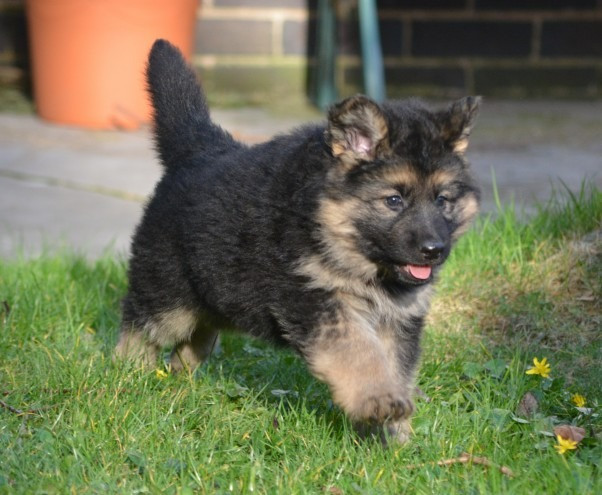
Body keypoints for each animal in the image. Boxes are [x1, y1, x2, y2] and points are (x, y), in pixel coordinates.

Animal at [115, 37, 480, 442]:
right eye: (394, 200)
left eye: (442, 200)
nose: (434, 251)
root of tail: (198, 149)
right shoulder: (315, 300)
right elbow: (359, 352)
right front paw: (380, 401)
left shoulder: (397, 320)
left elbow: (394, 366)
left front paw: (393, 435)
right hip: (167, 293)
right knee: (139, 325)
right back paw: (124, 374)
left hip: (213, 293)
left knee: (194, 340)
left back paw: (182, 379)